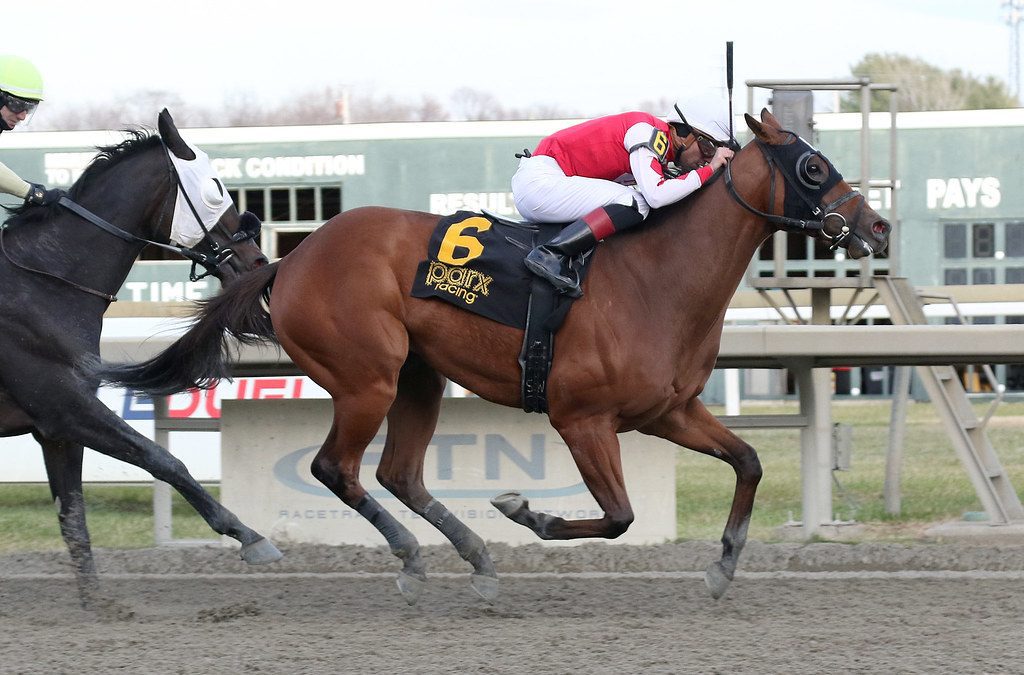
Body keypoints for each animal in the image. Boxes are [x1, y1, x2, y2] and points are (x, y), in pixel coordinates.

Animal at [0, 109, 281, 609]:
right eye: (215, 191)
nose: (256, 261)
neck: (43, 283)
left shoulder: (55, 430)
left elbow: (73, 519)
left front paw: (98, 606)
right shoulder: (65, 407)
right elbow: (163, 460)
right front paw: (248, 536)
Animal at [97, 109, 890, 604]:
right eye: (813, 166)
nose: (877, 227)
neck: (656, 276)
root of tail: (290, 261)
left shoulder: (668, 410)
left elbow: (748, 462)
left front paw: (724, 565)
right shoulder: (581, 418)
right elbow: (618, 515)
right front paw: (523, 510)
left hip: (417, 377)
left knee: (398, 472)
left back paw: (475, 559)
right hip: (366, 377)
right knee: (337, 469)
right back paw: (415, 558)